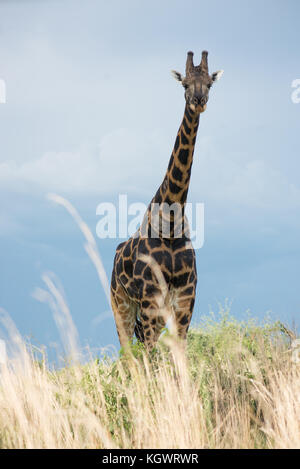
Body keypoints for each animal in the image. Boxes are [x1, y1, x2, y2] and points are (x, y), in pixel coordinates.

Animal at [110, 52, 223, 352]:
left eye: (209, 83)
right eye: (184, 84)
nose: (199, 101)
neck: (170, 223)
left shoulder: (185, 300)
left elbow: (180, 353)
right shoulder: (150, 300)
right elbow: (152, 355)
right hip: (121, 304)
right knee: (129, 353)